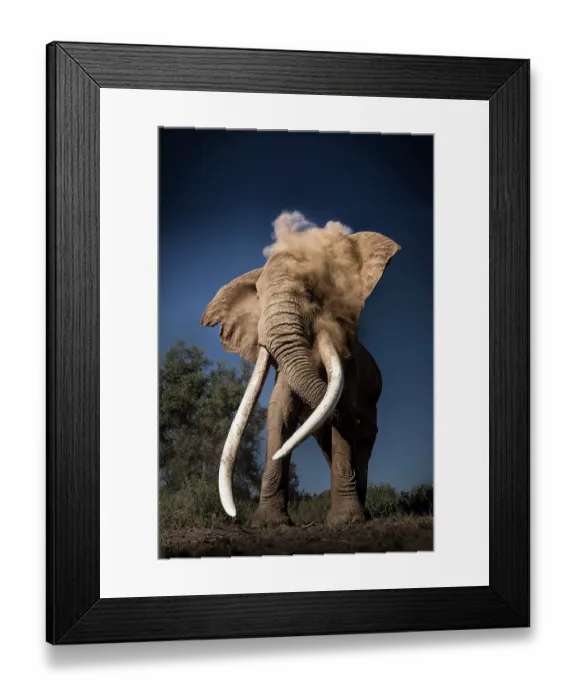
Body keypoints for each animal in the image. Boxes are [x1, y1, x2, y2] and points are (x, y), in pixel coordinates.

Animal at [201, 218, 400, 527]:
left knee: (364, 442)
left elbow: (342, 413)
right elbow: (279, 410)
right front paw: (268, 524)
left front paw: (345, 521)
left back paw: (361, 513)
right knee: (328, 440)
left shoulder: (349, 361)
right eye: (260, 298)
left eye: (312, 292)